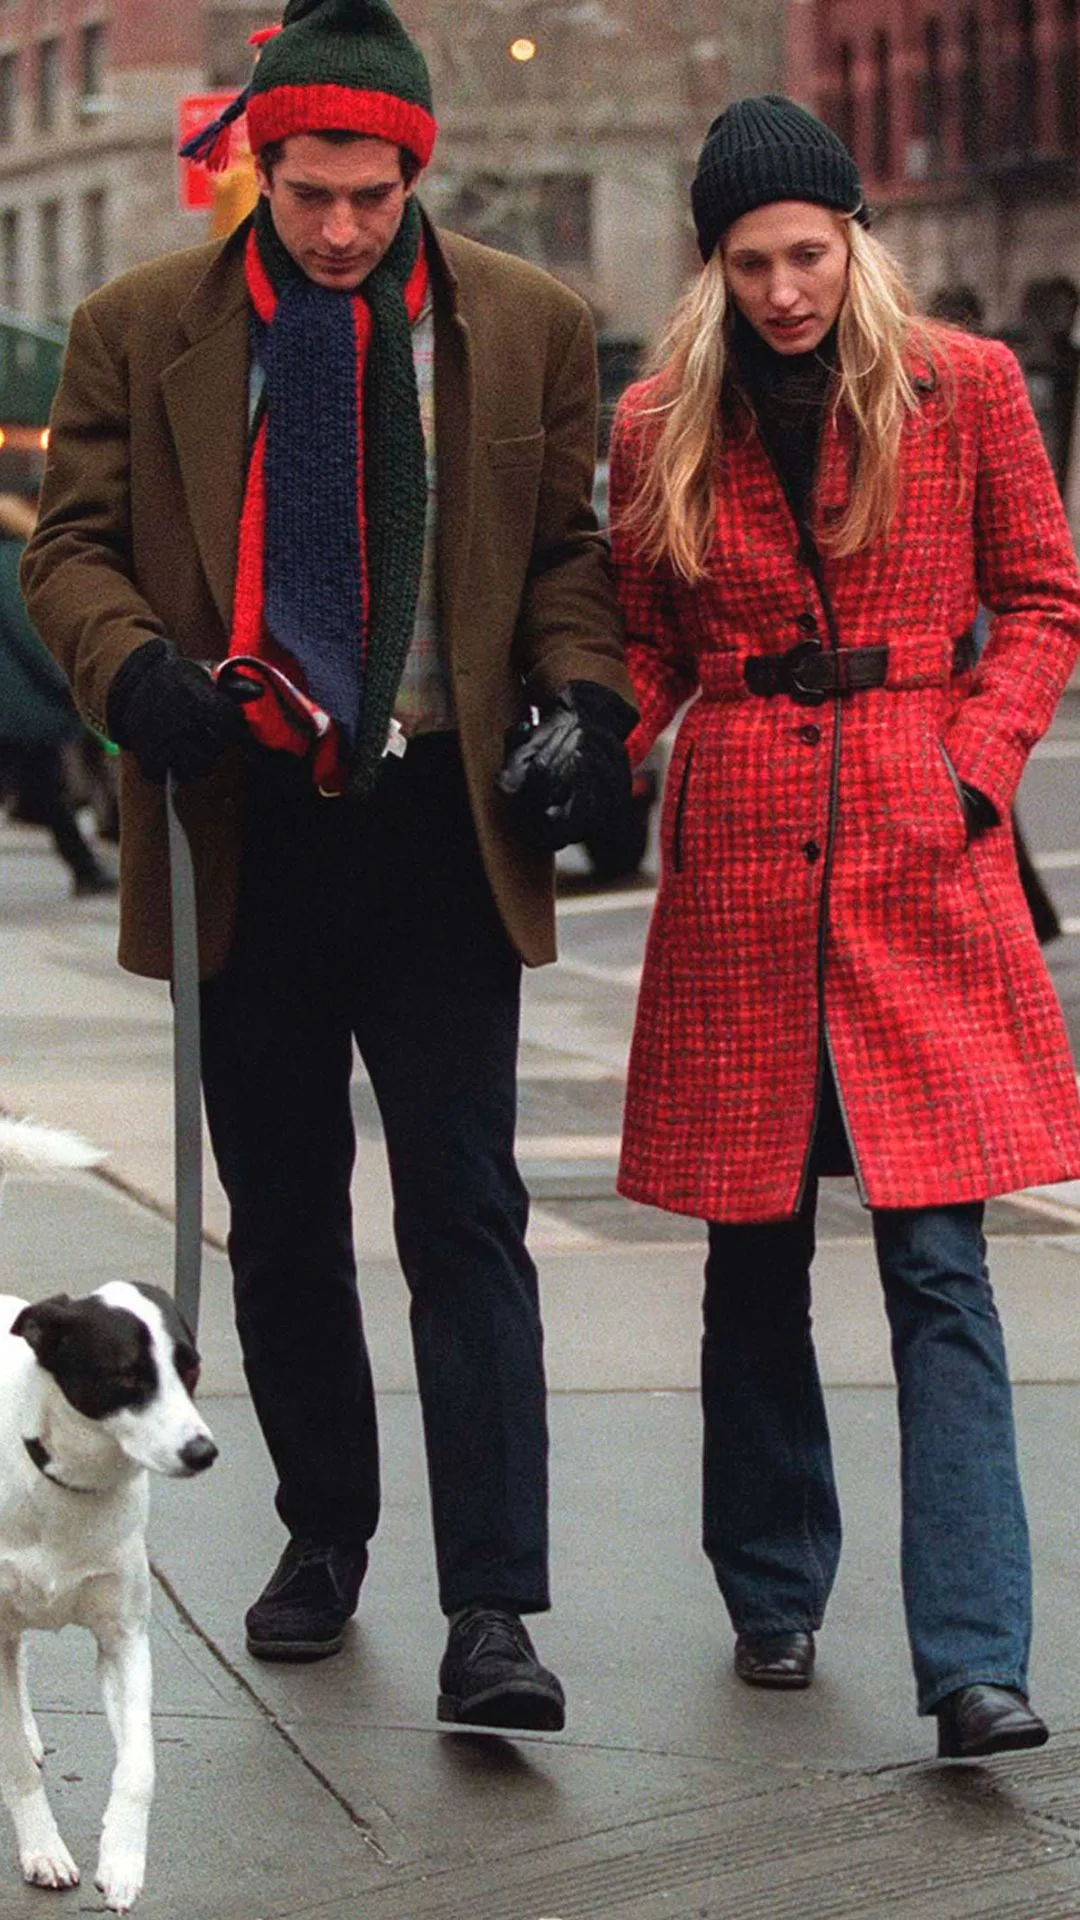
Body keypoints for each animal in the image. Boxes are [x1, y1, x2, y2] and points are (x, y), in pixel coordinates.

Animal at [0, 1113, 216, 1904]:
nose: (202, 1451)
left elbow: (141, 1764)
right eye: (126, 1375)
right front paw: (43, 1850)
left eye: (191, 1369)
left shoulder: (126, 1638)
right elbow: (15, 1769)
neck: (64, 1483)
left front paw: (122, 1858)